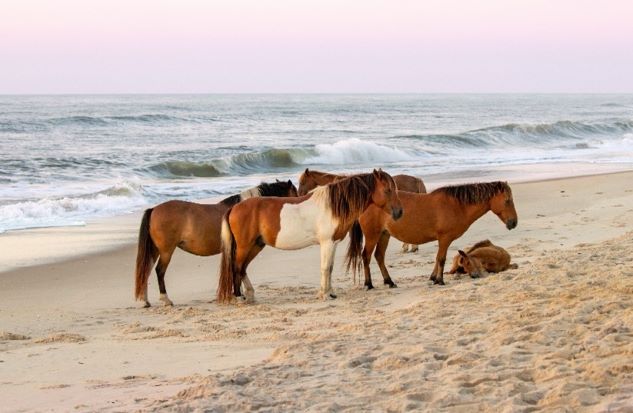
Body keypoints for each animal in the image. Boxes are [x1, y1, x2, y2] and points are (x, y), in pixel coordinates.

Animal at [133, 179, 296, 306]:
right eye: (294, 193)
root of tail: (154, 209)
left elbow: (240, 269)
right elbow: (239, 268)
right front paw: (241, 294)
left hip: (155, 250)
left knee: (146, 270)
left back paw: (145, 300)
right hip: (166, 251)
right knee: (159, 271)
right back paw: (166, 300)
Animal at [216, 169, 400, 304]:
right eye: (387, 190)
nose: (399, 212)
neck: (332, 206)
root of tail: (234, 208)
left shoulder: (333, 244)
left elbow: (330, 268)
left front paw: (330, 293)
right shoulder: (327, 243)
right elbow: (325, 268)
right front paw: (324, 294)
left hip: (256, 245)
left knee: (243, 268)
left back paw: (249, 295)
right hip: (245, 246)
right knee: (236, 267)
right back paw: (239, 297)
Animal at [346, 179, 520, 288]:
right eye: (507, 200)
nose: (514, 223)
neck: (456, 205)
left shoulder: (443, 240)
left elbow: (437, 259)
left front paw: (433, 278)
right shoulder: (444, 238)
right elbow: (441, 259)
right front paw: (440, 280)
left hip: (384, 235)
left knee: (379, 256)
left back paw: (389, 282)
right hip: (373, 235)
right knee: (366, 257)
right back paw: (369, 284)